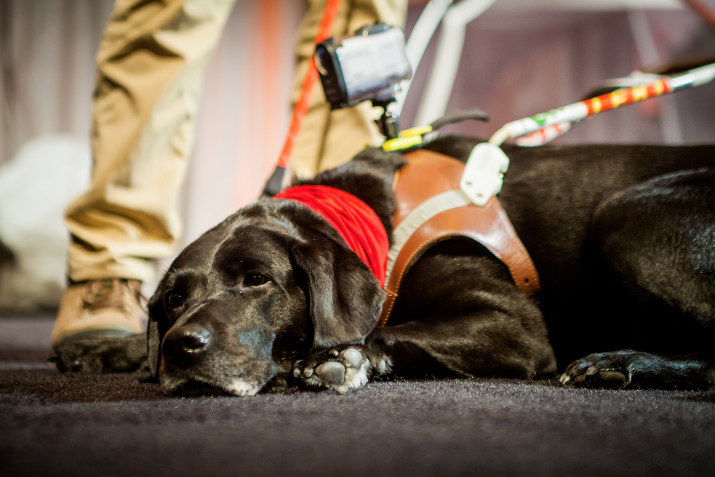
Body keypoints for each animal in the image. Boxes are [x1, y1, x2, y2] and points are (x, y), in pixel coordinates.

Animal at [147, 136, 715, 396]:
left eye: (257, 279)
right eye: (174, 298)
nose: (180, 345)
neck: (378, 217)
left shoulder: (518, 326)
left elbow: (387, 330)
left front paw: (344, 357)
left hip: (624, 215)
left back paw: (618, 362)